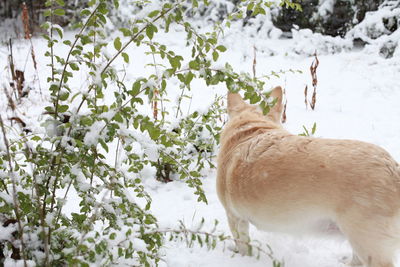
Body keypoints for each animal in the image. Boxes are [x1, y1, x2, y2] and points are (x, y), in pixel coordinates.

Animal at [217, 87, 400, 267]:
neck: (251, 129)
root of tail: (393, 169)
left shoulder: (235, 218)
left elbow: (243, 246)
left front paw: (242, 258)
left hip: (366, 242)